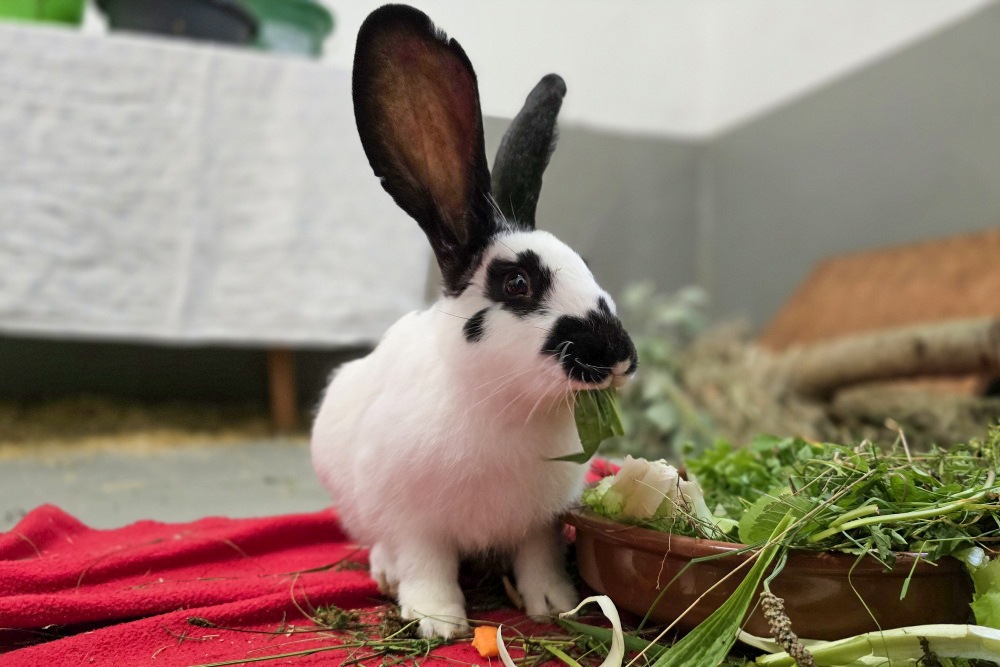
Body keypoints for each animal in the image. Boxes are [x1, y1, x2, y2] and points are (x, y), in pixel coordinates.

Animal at [311, 4, 637, 639]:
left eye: (588, 266)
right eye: (517, 284)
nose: (618, 356)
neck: (508, 406)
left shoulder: (539, 522)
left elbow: (537, 560)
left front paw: (554, 605)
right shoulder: (415, 520)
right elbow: (426, 563)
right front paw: (438, 622)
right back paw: (386, 573)